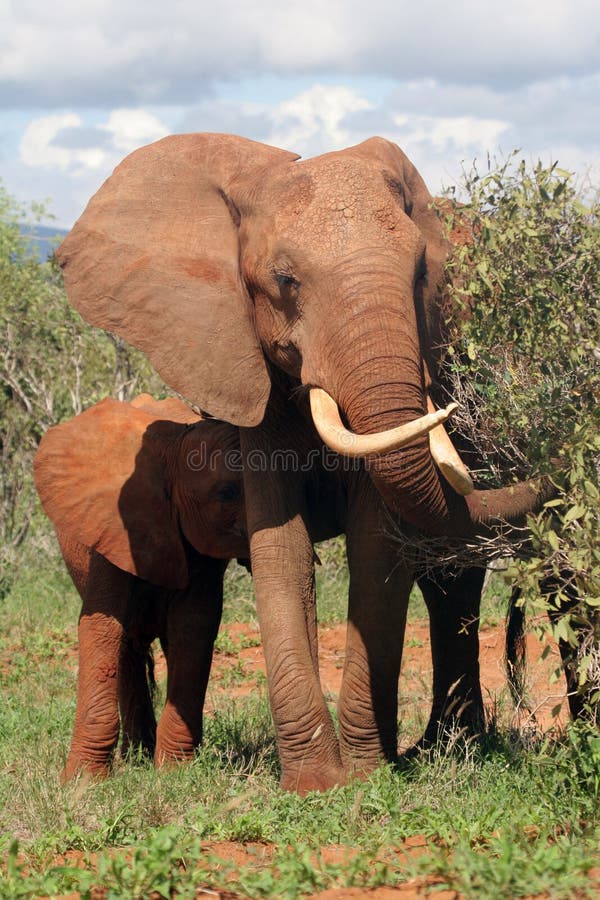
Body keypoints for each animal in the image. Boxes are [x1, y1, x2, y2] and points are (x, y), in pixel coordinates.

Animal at [34, 394, 246, 780]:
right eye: (227, 492)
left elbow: (194, 623)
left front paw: (174, 772)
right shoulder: (110, 526)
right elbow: (102, 625)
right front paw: (81, 783)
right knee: (126, 644)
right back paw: (136, 756)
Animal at [56, 135, 548, 796]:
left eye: (423, 273)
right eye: (284, 280)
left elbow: (377, 547)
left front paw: (364, 774)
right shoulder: (249, 379)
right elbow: (281, 549)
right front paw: (317, 782)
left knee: (451, 576)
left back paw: (444, 747)